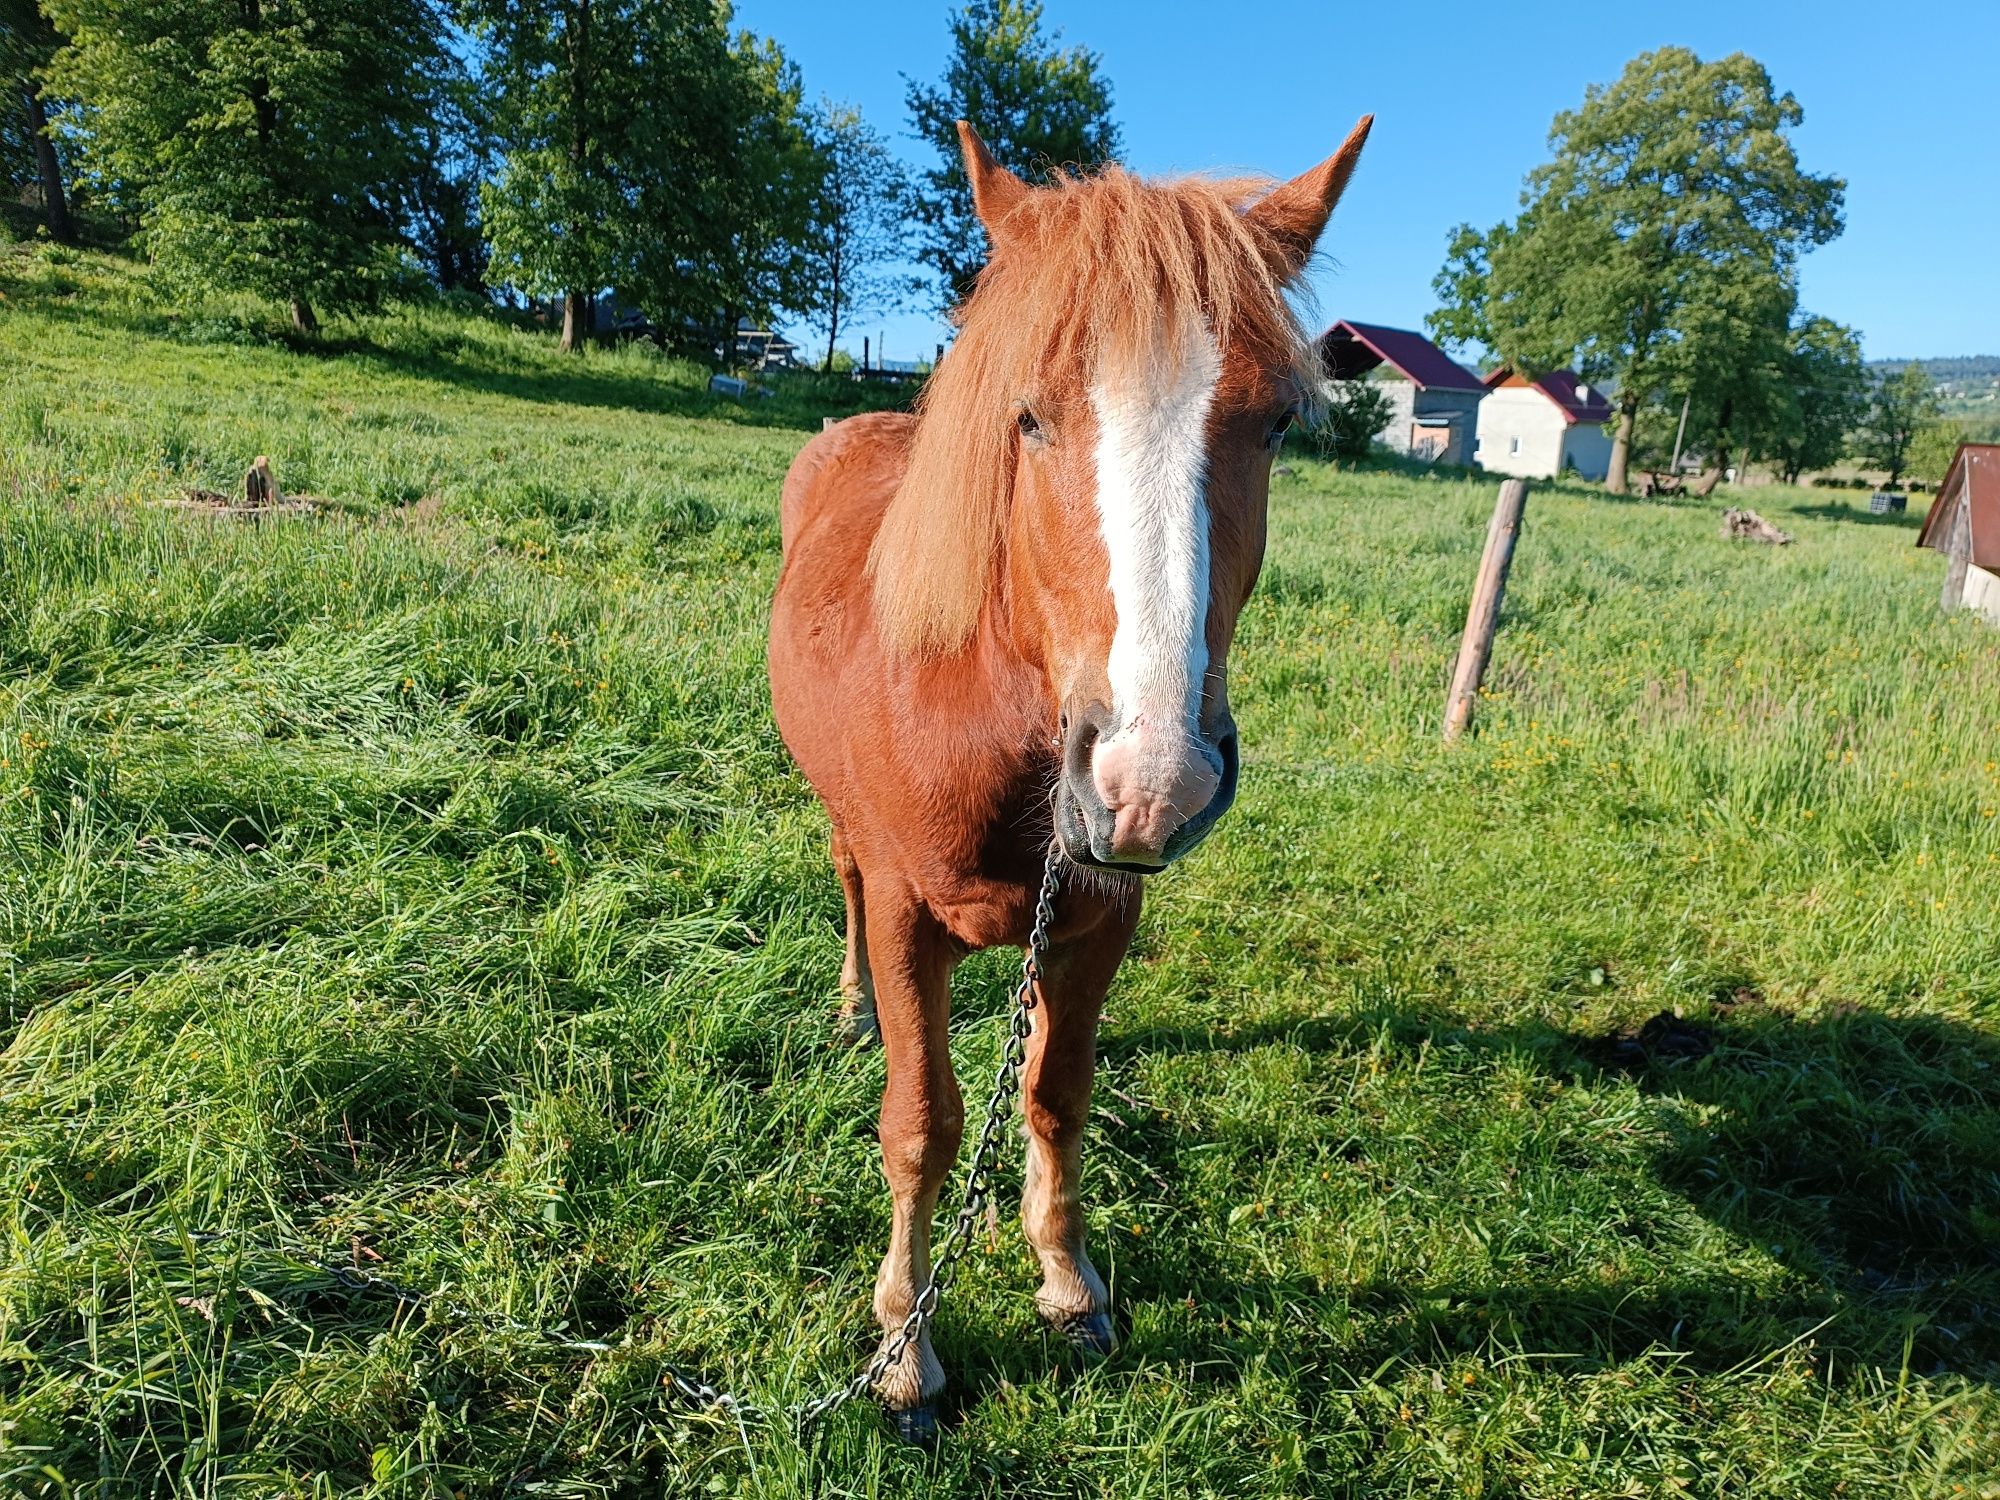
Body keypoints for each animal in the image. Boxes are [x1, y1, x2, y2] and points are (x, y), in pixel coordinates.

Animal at [768, 114, 1376, 1432]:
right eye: (1029, 418)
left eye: (1275, 424)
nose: (1151, 780)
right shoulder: (907, 914)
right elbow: (923, 1122)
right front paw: (904, 1348)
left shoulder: (1098, 914)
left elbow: (1053, 1093)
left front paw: (1066, 1280)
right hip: (844, 837)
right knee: (840, 879)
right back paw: (846, 1006)